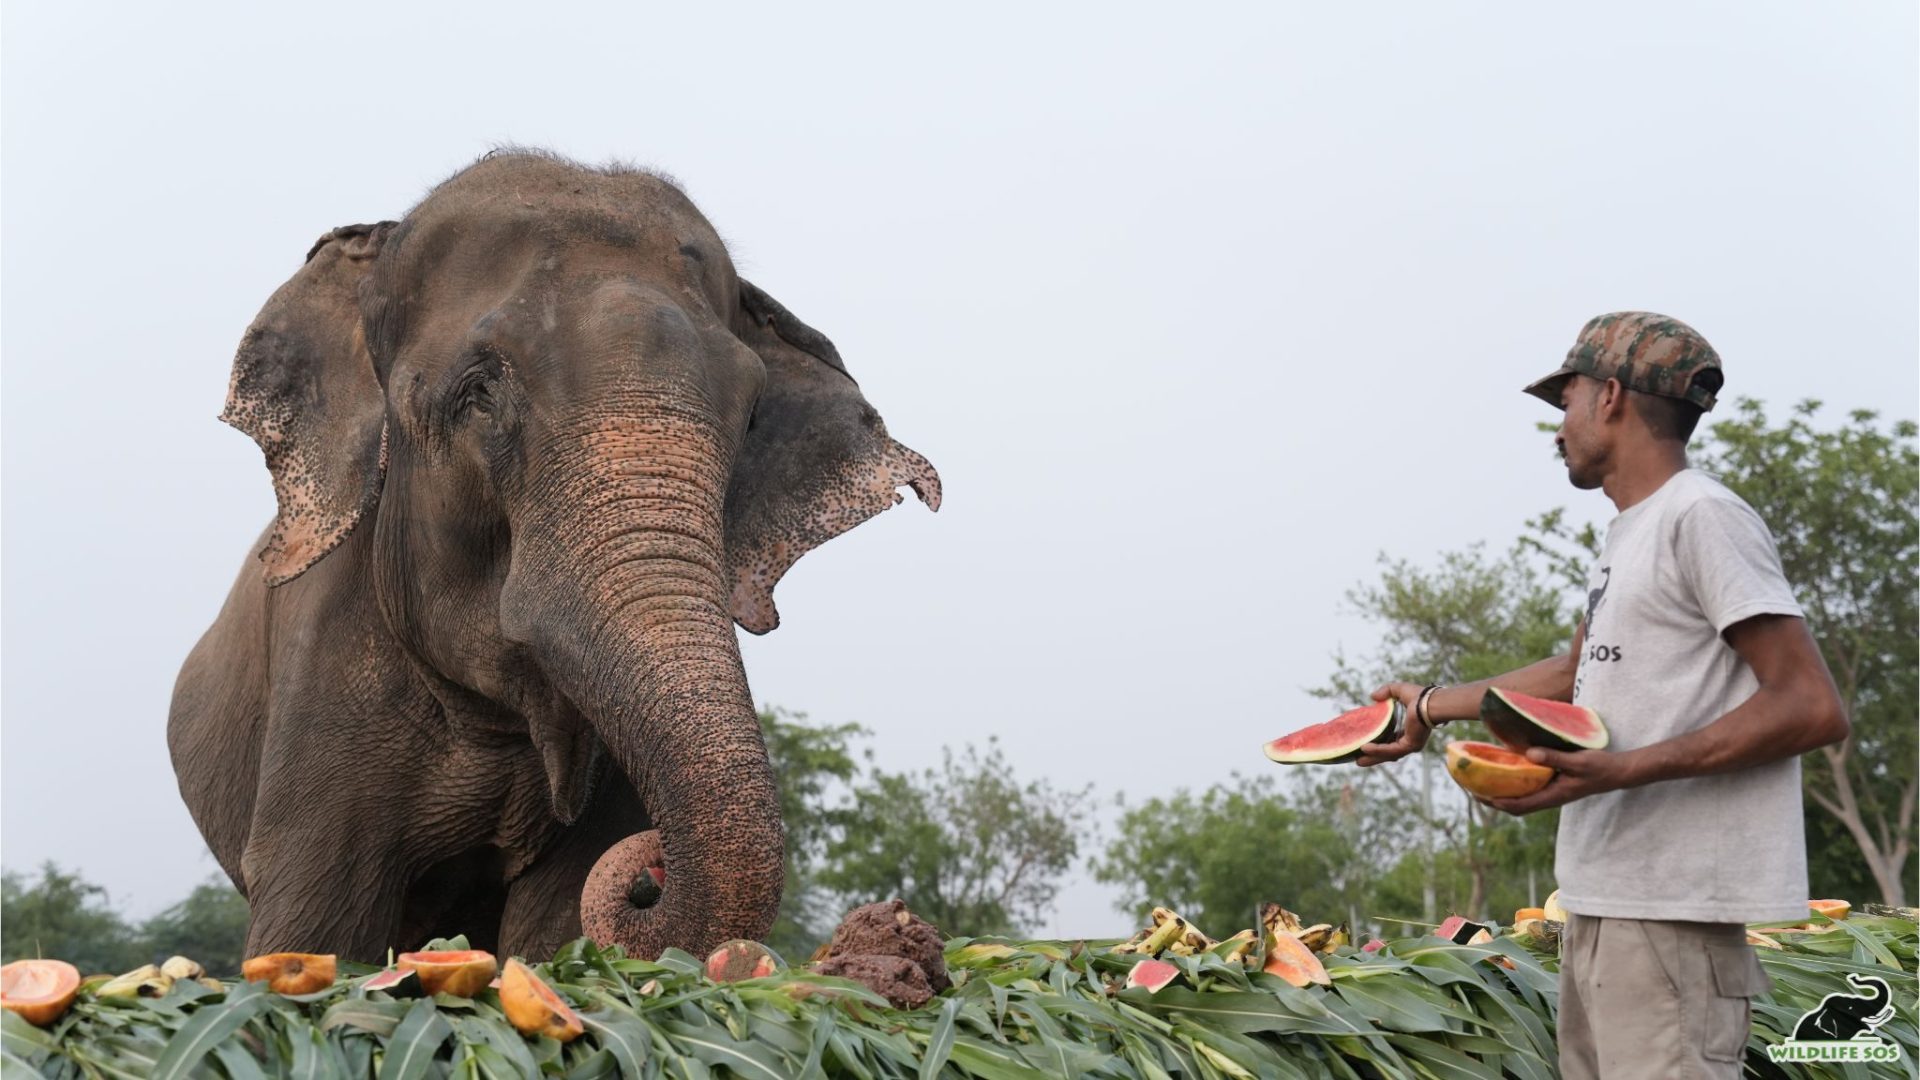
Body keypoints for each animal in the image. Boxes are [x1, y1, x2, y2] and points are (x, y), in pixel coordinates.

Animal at [172, 148, 936, 957]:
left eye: (753, 413)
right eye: (477, 393)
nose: (649, 867)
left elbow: (558, 930)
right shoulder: (322, 673)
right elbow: (315, 926)